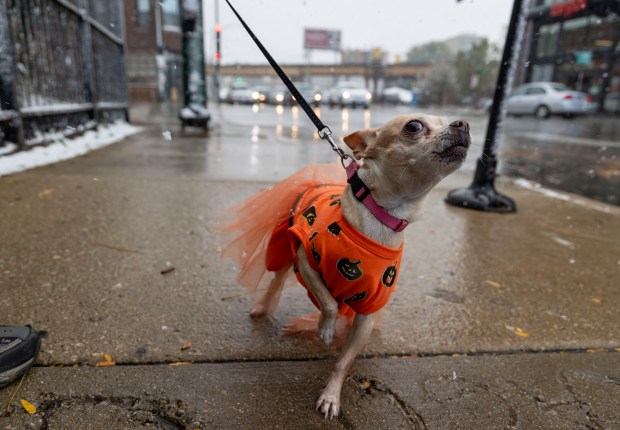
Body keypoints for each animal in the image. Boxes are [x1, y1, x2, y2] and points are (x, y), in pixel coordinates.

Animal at [223, 112, 470, 418]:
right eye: (414, 126)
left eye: (448, 120)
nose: (463, 124)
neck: (381, 220)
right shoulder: (306, 262)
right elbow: (329, 303)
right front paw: (326, 329)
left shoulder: (367, 313)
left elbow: (343, 360)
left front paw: (331, 396)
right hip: (286, 247)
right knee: (276, 281)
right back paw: (264, 307)